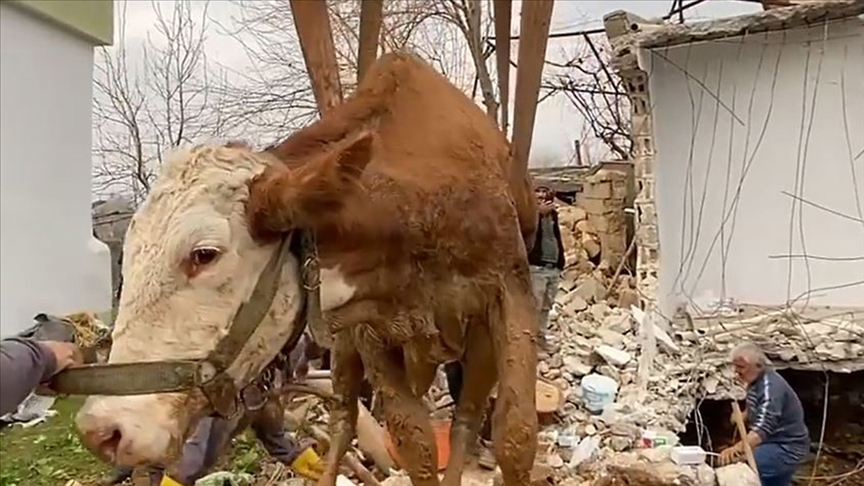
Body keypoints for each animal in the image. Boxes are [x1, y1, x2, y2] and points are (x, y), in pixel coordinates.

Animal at [76, 53, 540, 486]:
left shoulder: (510, 291)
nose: (102, 429)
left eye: (204, 254)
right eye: (127, 256)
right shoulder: (367, 333)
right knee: (344, 419)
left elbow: (515, 437)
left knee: (467, 417)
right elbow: (415, 443)